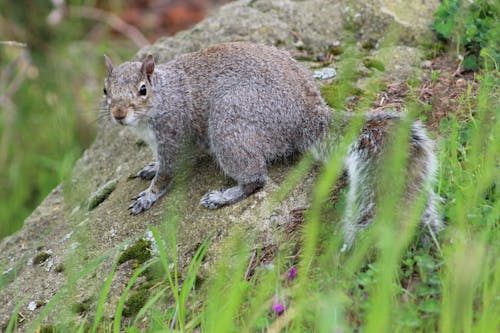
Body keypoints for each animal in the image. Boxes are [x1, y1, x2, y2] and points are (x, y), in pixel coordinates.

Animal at [101, 41, 442, 245]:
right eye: (105, 90)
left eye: (142, 90)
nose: (118, 114)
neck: (163, 96)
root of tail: (307, 115)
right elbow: (159, 163)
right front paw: (149, 166)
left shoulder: (174, 134)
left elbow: (168, 172)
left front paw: (148, 195)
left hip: (230, 122)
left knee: (257, 178)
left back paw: (225, 195)